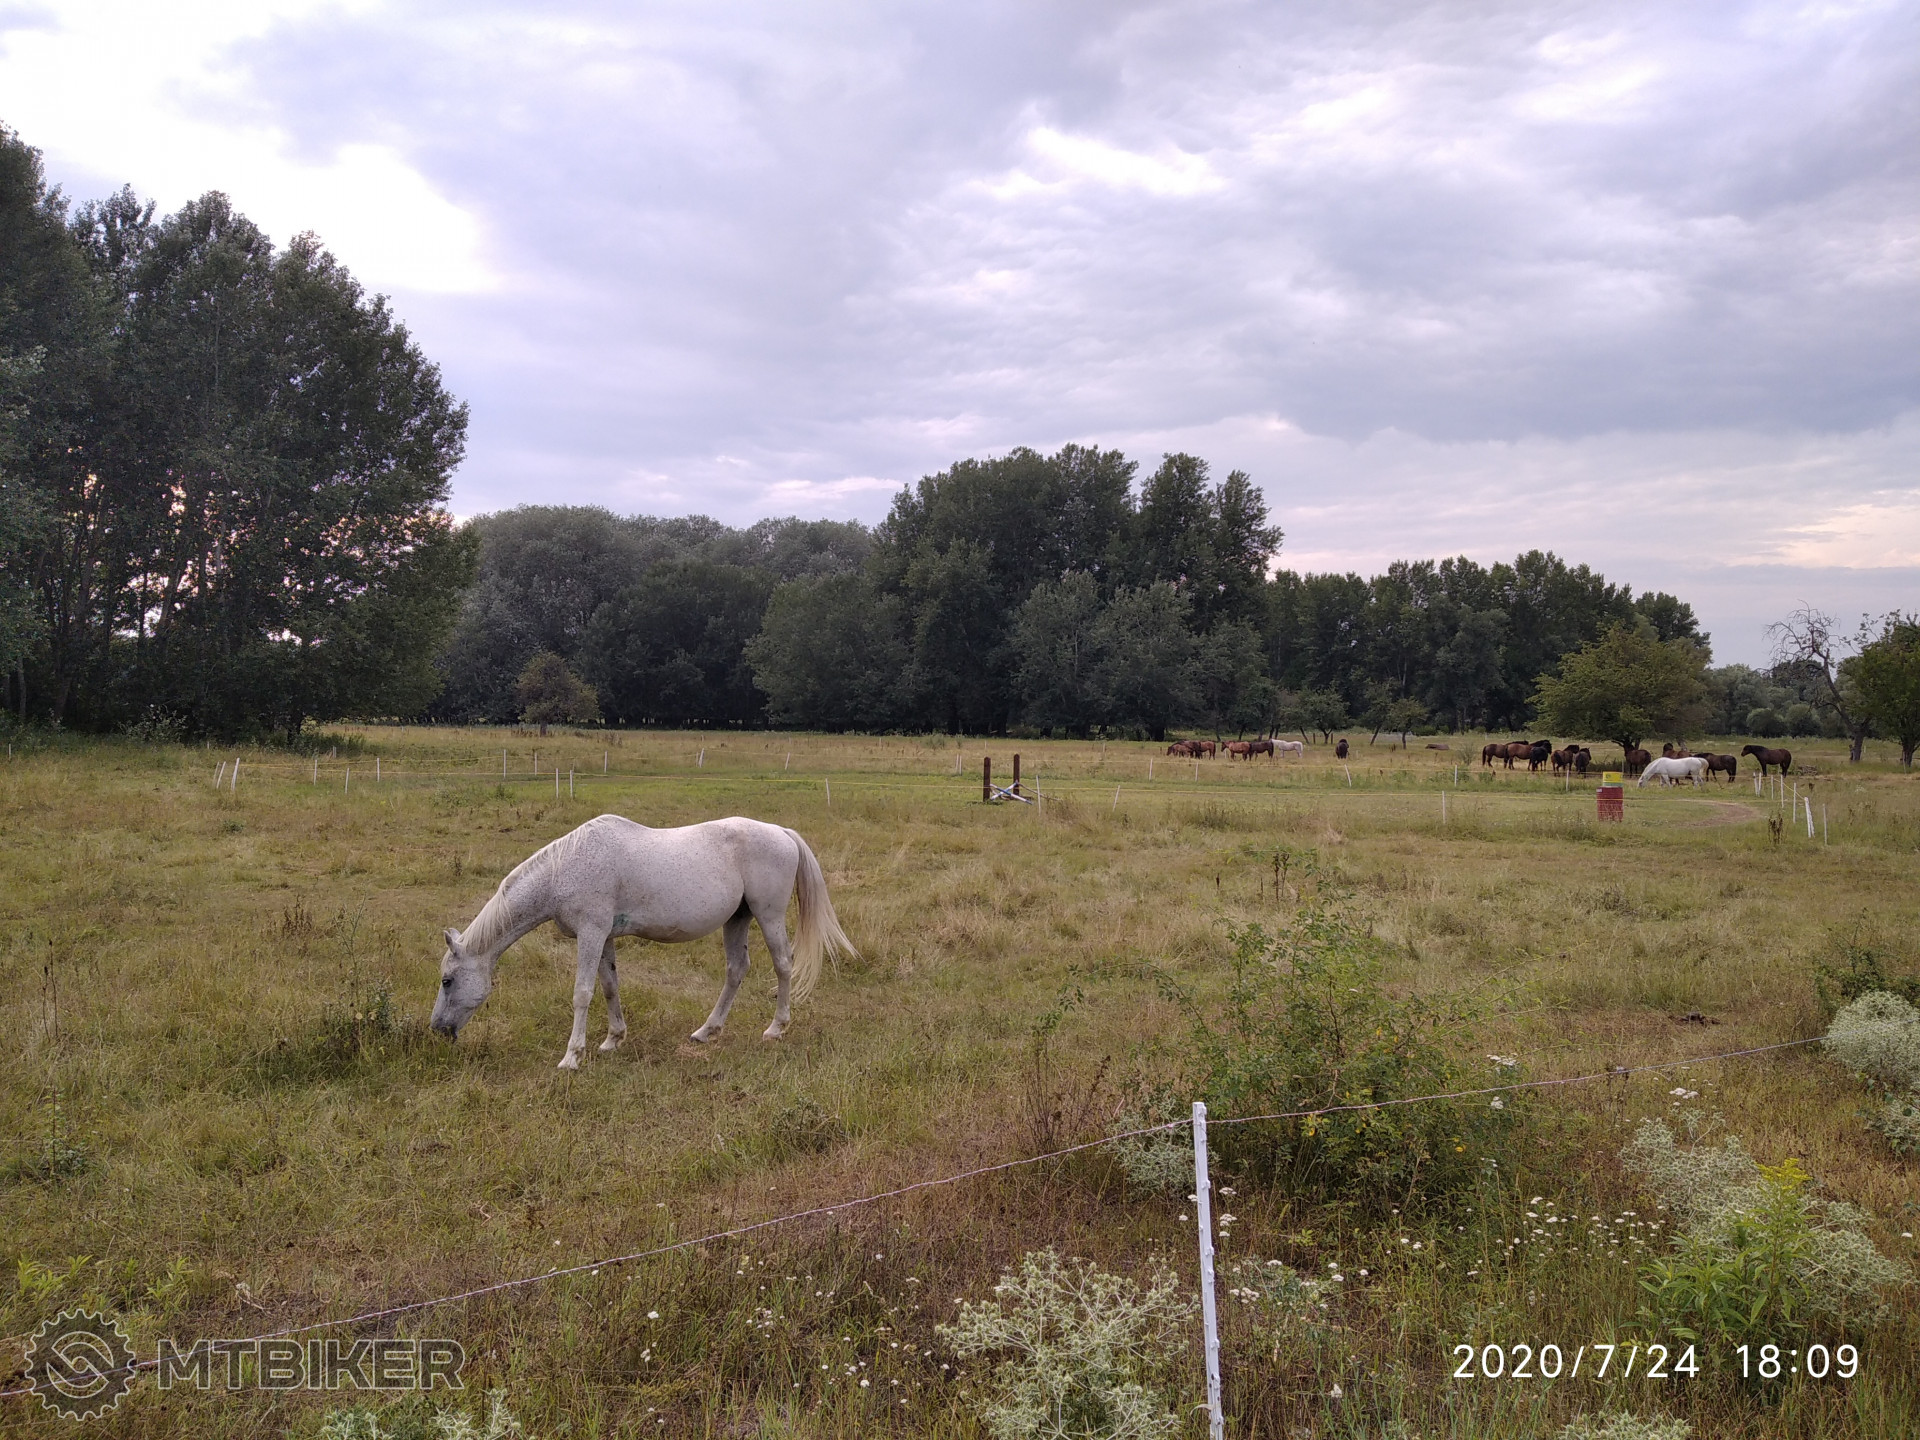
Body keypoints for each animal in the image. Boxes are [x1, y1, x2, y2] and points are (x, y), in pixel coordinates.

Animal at [430, 814, 856, 1069]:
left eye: (447, 981)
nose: (437, 1030)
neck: (564, 869)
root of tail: (781, 832)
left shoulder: (590, 933)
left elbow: (582, 993)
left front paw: (572, 1057)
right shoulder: (602, 936)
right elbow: (609, 986)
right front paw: (612, 1040)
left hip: (767, 916)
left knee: (783, 964)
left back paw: (775, 1028)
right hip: (737, 919)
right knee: (736, 970)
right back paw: (707, 1031)